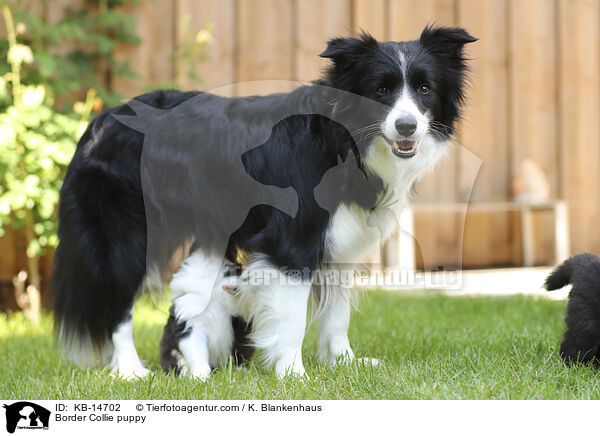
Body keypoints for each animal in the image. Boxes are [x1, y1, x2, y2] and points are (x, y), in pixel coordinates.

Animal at [51, 27, 476, 380]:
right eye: (381, 91)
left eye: (425, 89)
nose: (407, 127)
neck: (344, 138)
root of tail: (100, 121)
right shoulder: (292, 240)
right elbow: (290, 316)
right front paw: (293, 374)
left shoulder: (341, 241)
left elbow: (337, 313)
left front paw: (344, 363)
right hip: (124, 232)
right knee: (117, 301)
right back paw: (129, 369)